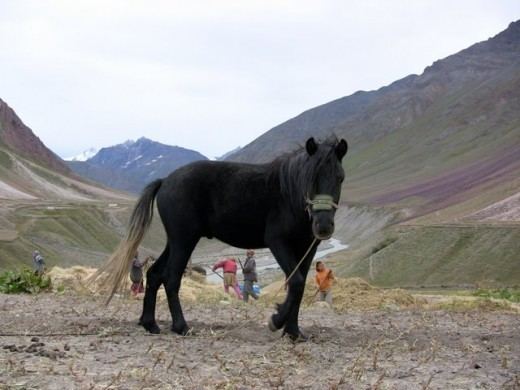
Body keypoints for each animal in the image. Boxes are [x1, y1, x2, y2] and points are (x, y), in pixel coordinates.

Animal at [99, 136, 348, 338]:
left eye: (340, 177)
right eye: (311, 177)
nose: (323, 226)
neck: (289, 195)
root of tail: (166, 180)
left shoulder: (307, 248)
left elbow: (299, 285)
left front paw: (293, 331)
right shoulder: (278, 242)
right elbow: (295, 282)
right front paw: (276, 321)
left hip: (175, 241)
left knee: (153, 274)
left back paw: (150, 323)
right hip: (184, 240)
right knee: (171, 278)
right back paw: (181, 326)